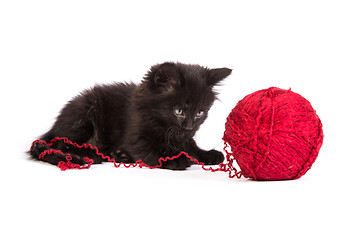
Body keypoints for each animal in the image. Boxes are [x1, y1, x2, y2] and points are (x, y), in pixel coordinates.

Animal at [29, 62, 232, 170]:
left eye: (200, 113)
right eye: (179, 111)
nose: (189, 127)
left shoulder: (183, 137)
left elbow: (190, 146)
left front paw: (207, 154)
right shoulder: (134, 137)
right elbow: (151, 151)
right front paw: (175, 159)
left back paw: (119, 155)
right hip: (83, 116)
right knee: (60, 143)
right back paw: (91, 154)